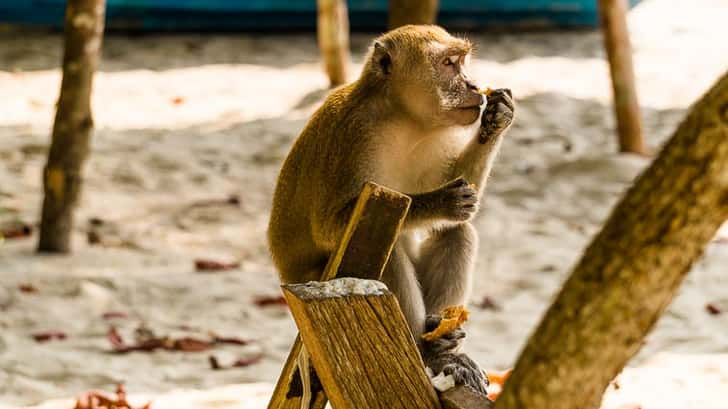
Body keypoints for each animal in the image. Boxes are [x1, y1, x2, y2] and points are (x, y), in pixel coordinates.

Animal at [270, 24, 516, 392]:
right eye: (448, 63)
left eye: (461, 62)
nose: (473, 86)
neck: (403, 118)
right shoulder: (353, 134)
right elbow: (329, 226)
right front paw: (440, 201)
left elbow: (460, 201)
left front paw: (496, 118)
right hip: (324, 277)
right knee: (388, 250)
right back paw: (426, 349)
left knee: (456, 233)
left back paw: (442, 347)